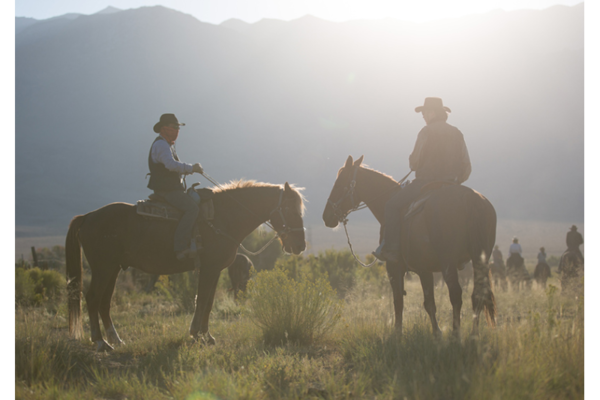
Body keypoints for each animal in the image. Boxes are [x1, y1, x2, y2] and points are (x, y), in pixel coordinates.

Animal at [67, 181, 304, 350]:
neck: (223, 217)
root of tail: (87, 217)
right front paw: (197, 334)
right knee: (93, 298)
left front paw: (207, 336)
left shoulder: (215, 270)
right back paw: (100, 342)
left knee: (104, 302)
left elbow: (208, 302)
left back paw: (115, 339)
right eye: (291, 211)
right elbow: (202, 301)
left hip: (113, 268)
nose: (300, 245)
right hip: (103, 268)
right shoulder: (209, 268)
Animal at [324, 156, 496, 338]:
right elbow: (429, 303)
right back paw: (473, 335)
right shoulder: (424, 269)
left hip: (448, 261)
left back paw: (456, 335)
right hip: (479, 259)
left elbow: (399, 300)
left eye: (339, 184)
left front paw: (397, 333)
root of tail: (470, 199)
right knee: (478, 294)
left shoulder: (394, 266)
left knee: (456, 294)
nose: (326, 216)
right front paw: (437, 333)